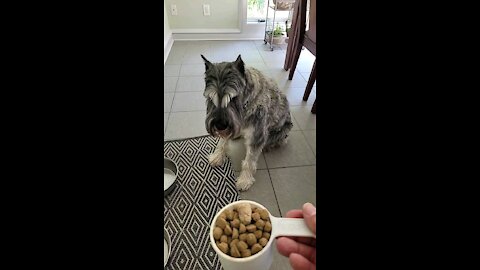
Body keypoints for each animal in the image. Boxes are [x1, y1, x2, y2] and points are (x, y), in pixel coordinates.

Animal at [202, 53, 292, 191]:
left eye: (233, 98)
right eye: (210, 98)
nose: (220, 126)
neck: (247, 104)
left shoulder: (256, 136)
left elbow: (249, 161)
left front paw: (245, 180)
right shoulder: (230, 126)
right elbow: (222, 142)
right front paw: (217, 156)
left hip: (281, 132)